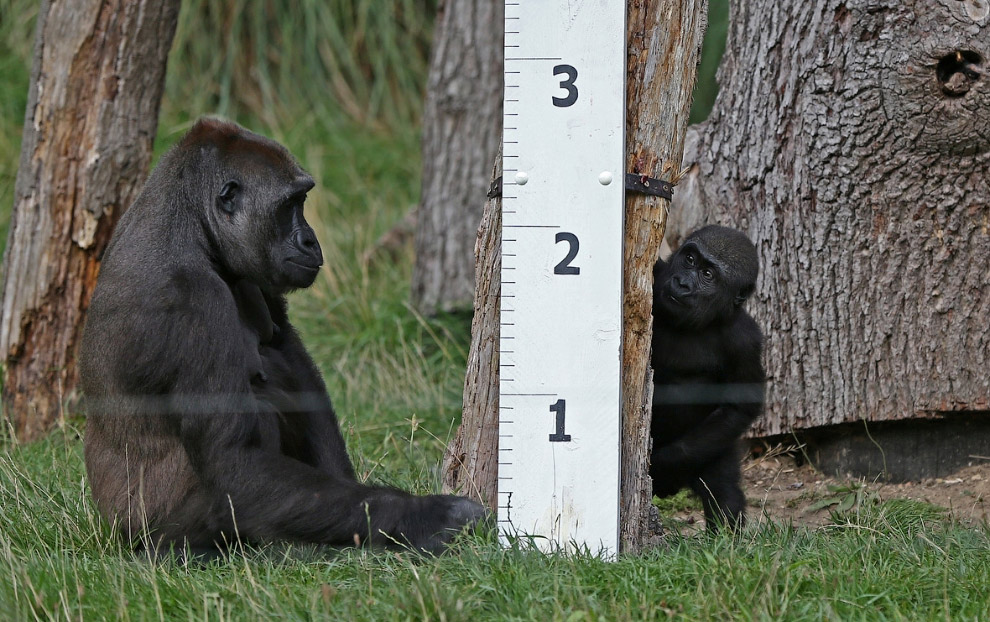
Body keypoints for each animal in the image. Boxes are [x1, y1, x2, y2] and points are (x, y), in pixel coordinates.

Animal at [83, 119, 486, 560]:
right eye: (289, 204)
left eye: (302, 200)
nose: (310, 240)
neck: (190, 226)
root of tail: (113, 529)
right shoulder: (190, 302)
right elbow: (234, 461)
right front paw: (425, 517)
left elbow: (288, 353)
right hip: (152, 533)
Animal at [652, 227, 768, 532]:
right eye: (690, 259)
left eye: (708, 275)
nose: (681, 283)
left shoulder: (746, 340)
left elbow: (740, 408)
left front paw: (662, 467)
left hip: (716, 446)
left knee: (723, 491)